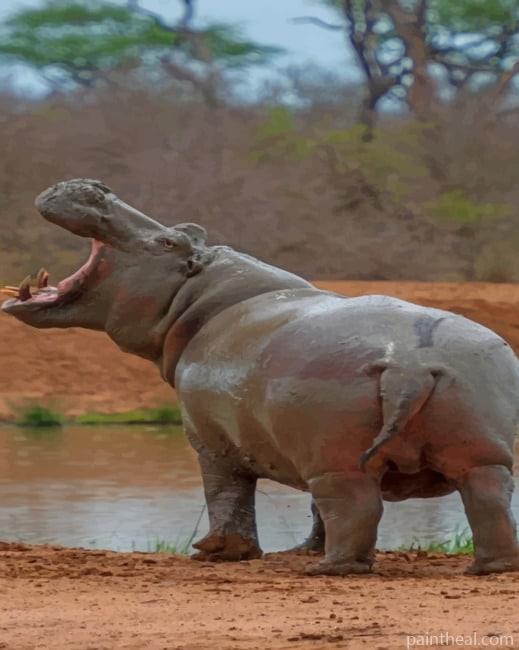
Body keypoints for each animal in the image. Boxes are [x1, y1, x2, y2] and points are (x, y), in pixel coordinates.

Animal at [3, 178, 519, 576]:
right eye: (185, 231)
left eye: (169, 242)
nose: (96, 187)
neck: (195, 295)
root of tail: (408, 364)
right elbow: (310, 510)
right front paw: (298, 550)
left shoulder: (209, 439)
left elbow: (226, 492)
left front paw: (218, 554)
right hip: (477, 448)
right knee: (487, 500)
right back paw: (486, 568)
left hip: (339, 460)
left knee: (355, 506)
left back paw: (329, 570)